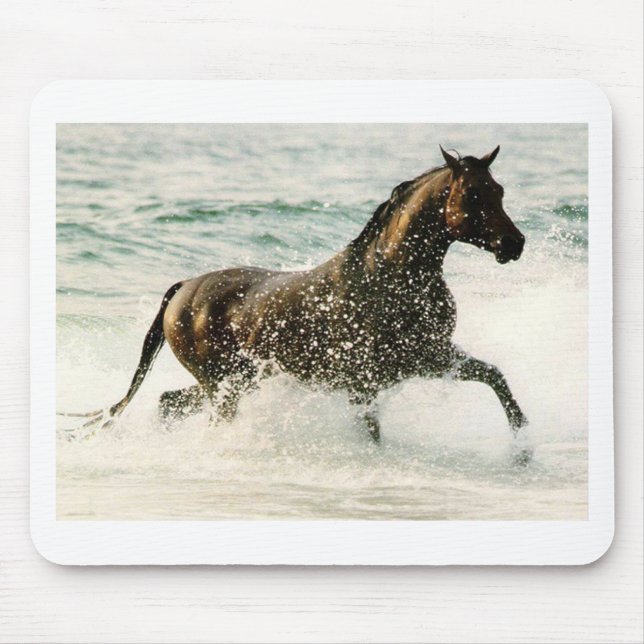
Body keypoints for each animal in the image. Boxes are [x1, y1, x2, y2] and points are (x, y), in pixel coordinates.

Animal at [66, 145, 528, 447]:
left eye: (500, 191)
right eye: (472, 195)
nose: (514, 244)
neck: (388, 278)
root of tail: (184, 289)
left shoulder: (430, 357)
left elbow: (496, 377)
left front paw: (523, 446)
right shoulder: (365, 382)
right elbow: (371, 432)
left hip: (234, 381)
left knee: (168, 403)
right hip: (223, 386)